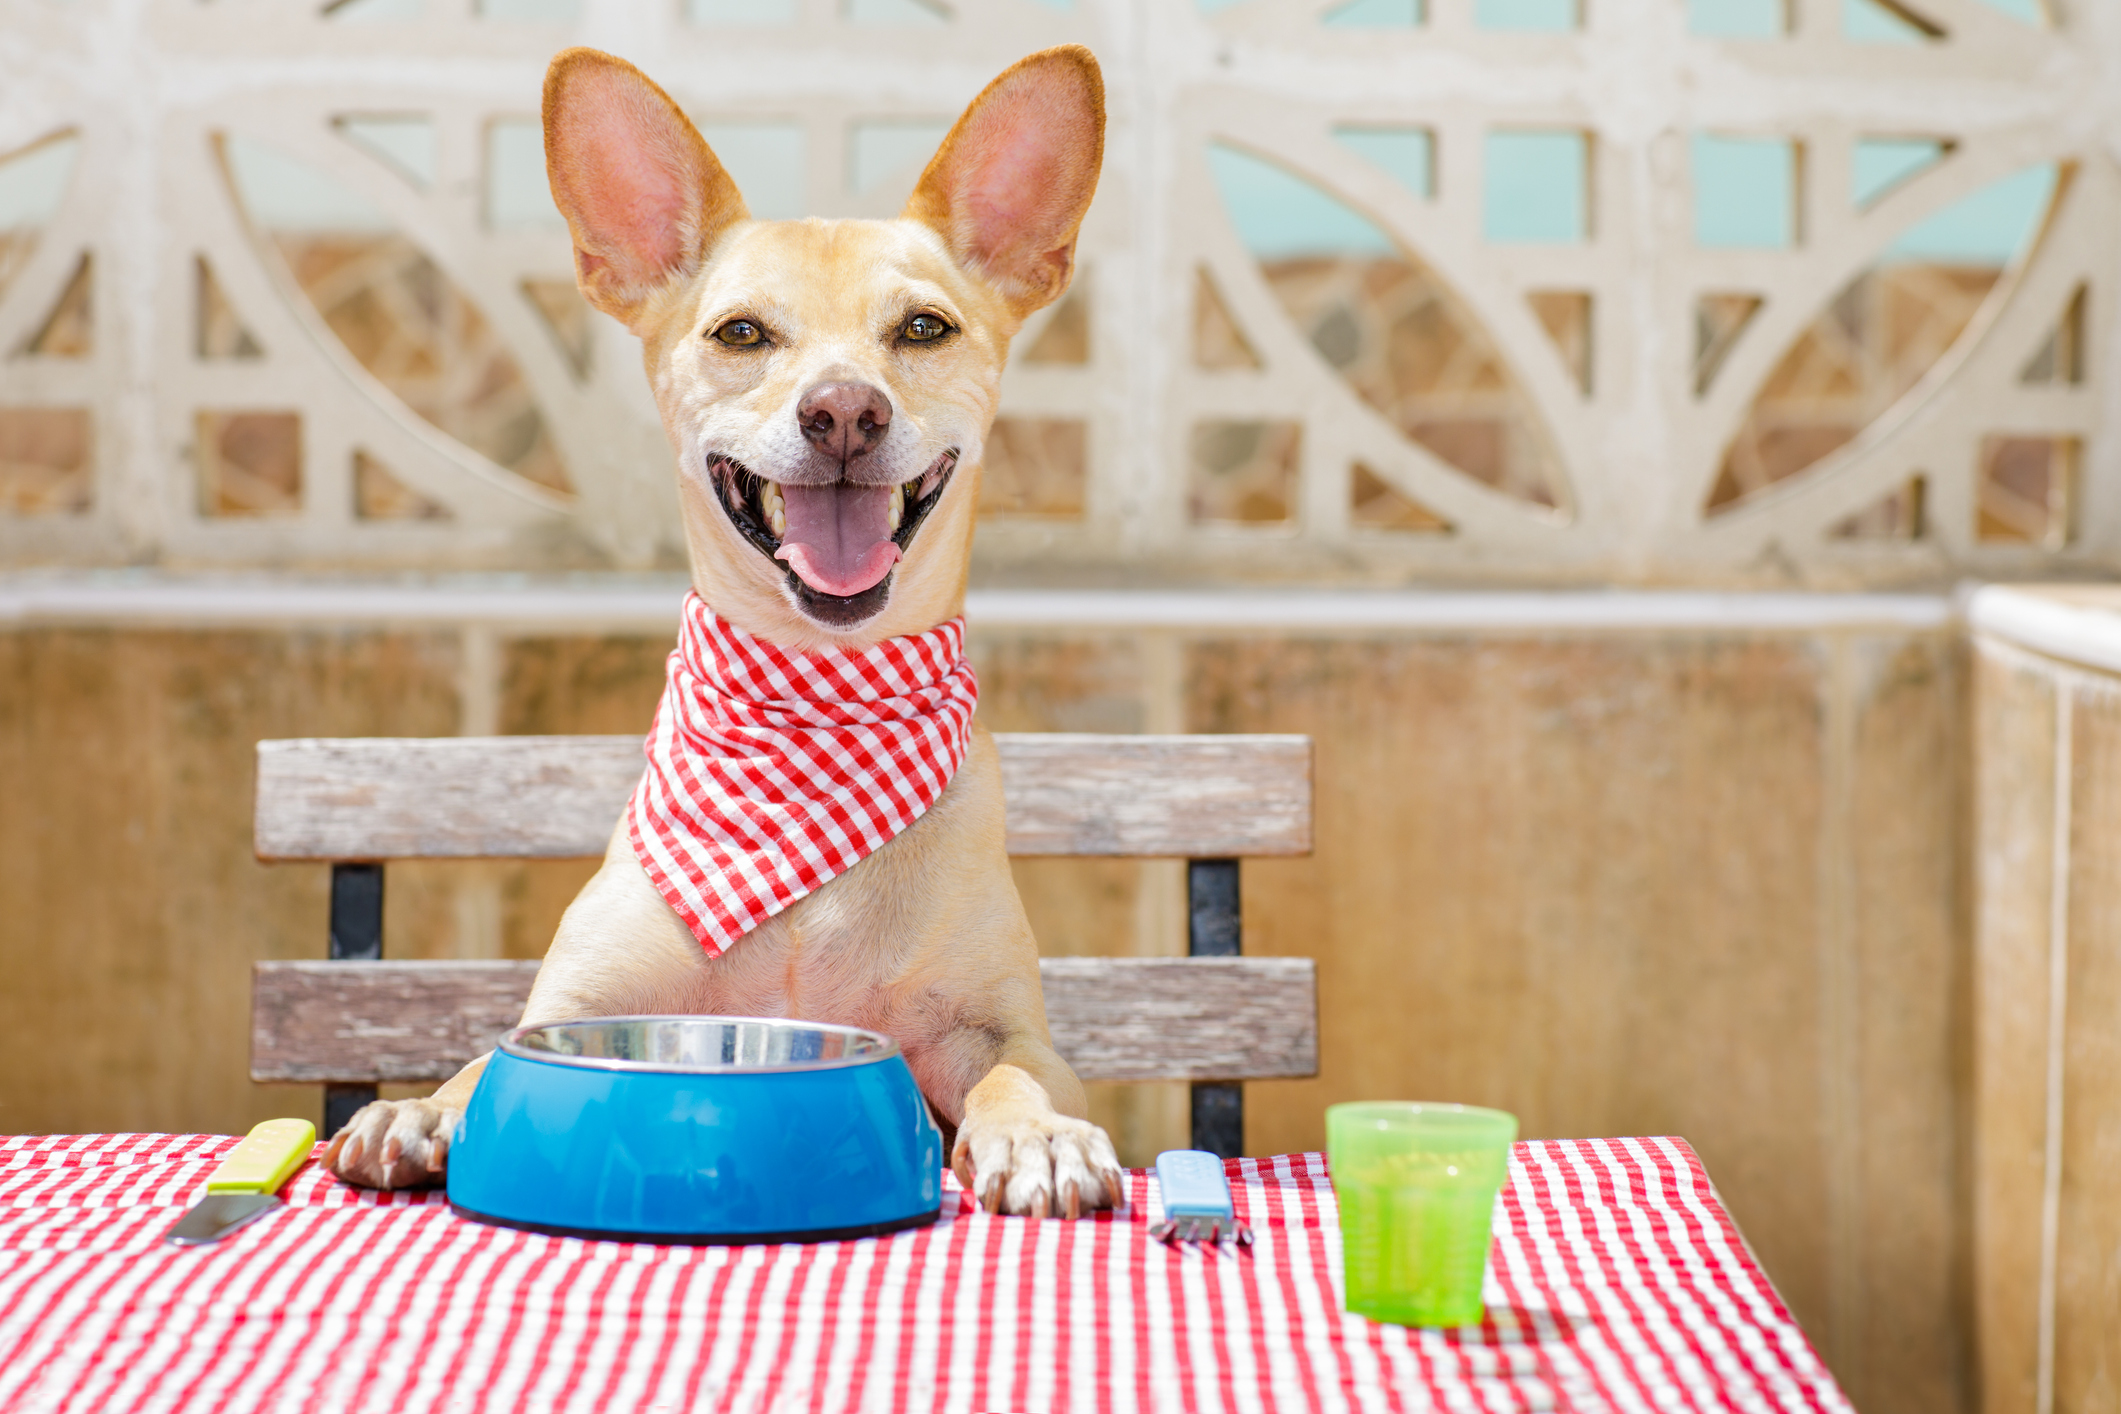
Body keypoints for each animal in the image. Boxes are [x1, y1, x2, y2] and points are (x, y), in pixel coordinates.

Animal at [322, 44, 1119, 1221]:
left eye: (922, 328)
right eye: (742, 332)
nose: (845, 412)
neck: (808, 707)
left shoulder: (1003, 1025)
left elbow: (1016, 1073)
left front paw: (1039, 1137)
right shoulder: (574, 1004)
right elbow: (479, 1061)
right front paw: (419, 1108)